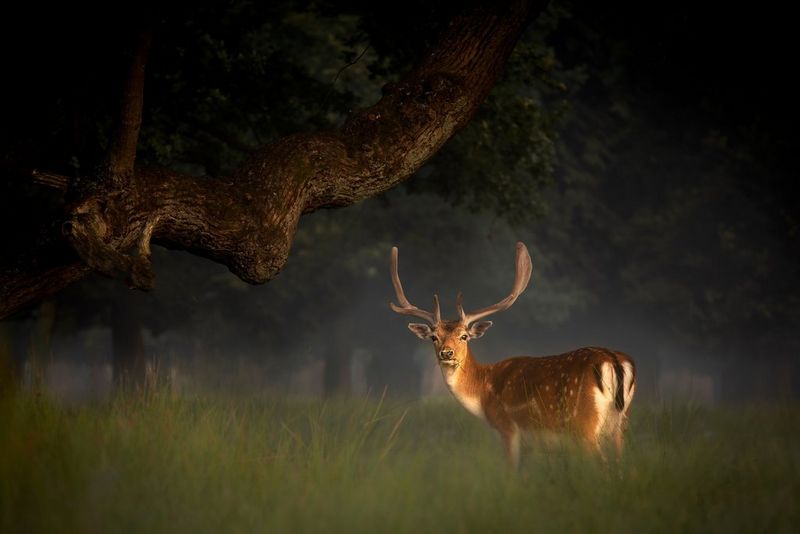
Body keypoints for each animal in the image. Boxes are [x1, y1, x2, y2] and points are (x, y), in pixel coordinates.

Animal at [390, 243, 636, 468]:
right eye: (434, 337)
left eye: (464, 336)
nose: (447, 352)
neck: (483, 393)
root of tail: (614, 360)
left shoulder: (507, 427)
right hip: (620, 424)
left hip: (584, 426)